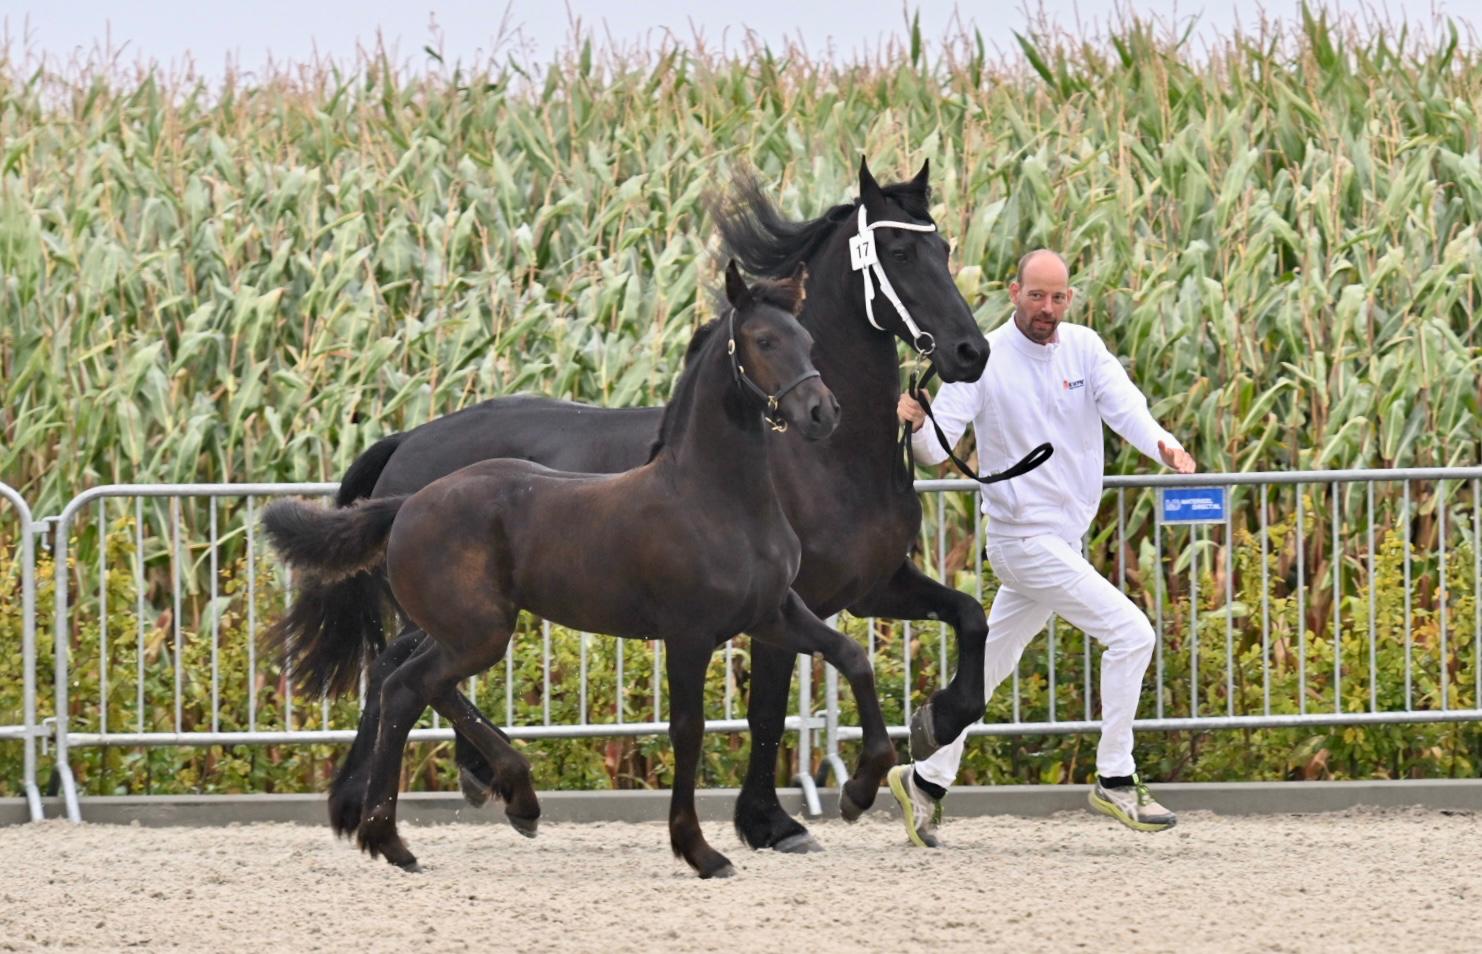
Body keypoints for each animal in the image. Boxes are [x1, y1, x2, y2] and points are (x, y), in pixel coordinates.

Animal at [270, 158, 995, 854]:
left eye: (945, 248)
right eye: (898, 251)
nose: (971, 351)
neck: (825, 458)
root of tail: (408, 445)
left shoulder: (872, 587)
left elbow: (969, 616)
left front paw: (938, 720)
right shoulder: (796, 602)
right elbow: (766, 711)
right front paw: (773, 822)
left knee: (401, 675)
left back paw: (410, 796)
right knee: (403, 674)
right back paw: (447, 792)